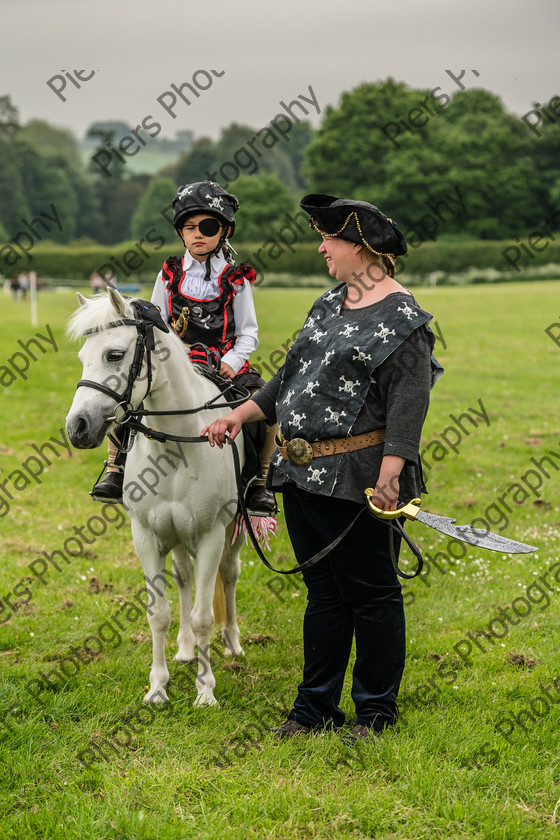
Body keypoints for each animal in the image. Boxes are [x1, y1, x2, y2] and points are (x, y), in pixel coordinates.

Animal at [64, 288, 244, 704]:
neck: (176, 446)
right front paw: (158, 687)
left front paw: (205, 690)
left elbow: (204, 616)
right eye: (82, 357)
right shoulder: (146, 535)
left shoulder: (211, 536)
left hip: (235, 530)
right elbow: (158, 613)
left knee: (229, 574)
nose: (76, 427)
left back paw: (233, 642)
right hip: (174, 535)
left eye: (115, 355)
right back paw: (185, 649)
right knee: (183, 577)